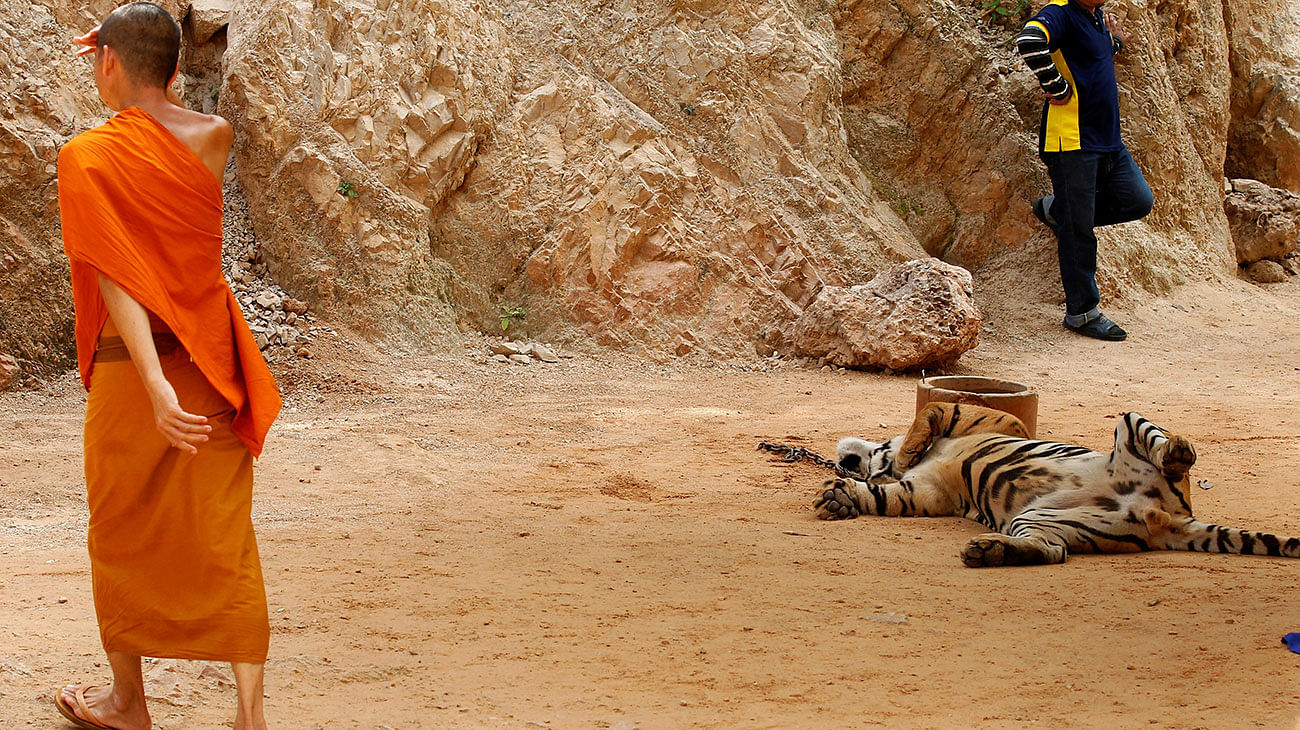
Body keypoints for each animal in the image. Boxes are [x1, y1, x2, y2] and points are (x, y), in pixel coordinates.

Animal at [816, 410, 1300, 563]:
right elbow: (885, 495)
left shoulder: (996, 420)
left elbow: (929, 412)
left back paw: (1179, 450)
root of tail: (1169, 516)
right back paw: (990, 552)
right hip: (1042, 518)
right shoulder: (927, 493)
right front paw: (840, 497)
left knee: (1168, 452)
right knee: (1055, 552)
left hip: (1130, 422)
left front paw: (906, 449)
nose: (844, 455)